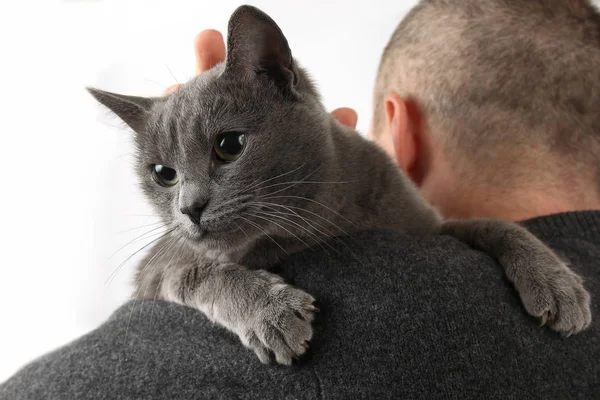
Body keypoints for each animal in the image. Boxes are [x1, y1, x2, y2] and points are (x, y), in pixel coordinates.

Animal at [86, 4, 592, 366]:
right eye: (163, 174)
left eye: (229, 145)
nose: (189, 207)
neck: (320, 225)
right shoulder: (158, 267)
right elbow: (201, 271)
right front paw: (272, 313)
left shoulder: (428, 224)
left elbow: (494, 224)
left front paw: (559, 285)